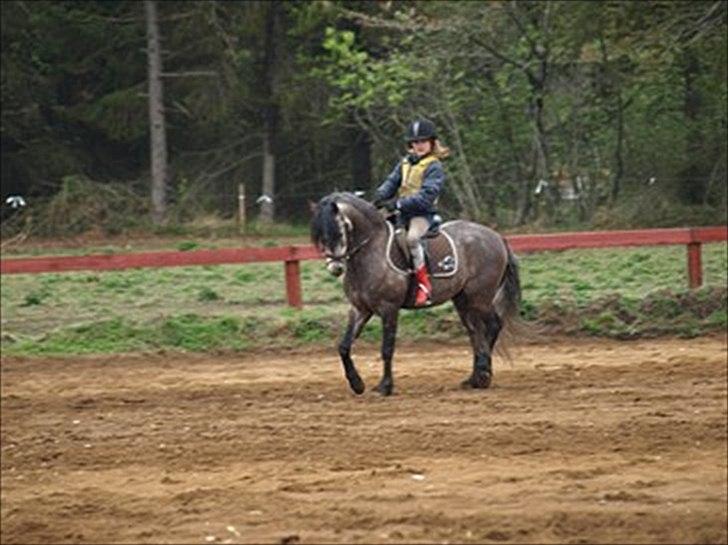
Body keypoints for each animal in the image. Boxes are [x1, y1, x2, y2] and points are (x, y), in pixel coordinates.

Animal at [310, 192, 521, 396]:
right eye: (321, 236)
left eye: (340, 230)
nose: (335, 268)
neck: (370, 252)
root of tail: (497, 236)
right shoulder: (360, 309)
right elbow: (344, 346)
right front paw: (357, 384)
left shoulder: (389, 309)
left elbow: (387, 349)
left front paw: (385, 386)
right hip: (463, 300)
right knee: (475, 332)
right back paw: (475, 378)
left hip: (479, 298)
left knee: (493, 325)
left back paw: (483, 373)